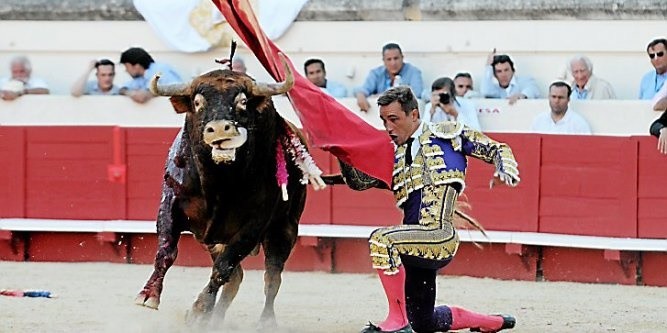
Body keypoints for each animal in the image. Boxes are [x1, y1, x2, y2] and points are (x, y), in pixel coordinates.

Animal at [135, 55, 326, 328]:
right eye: (197, 102)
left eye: (242, 102)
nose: (220, 130)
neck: (219, 183)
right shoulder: (170, 204)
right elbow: (166, 251)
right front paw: (148, 295)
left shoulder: (254, 224)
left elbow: (223, 269)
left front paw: (198, 309)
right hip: (218, 240)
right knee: (236, 278)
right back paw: (213, 320)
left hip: (284, 229)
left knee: (271, 277)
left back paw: (264, 322)